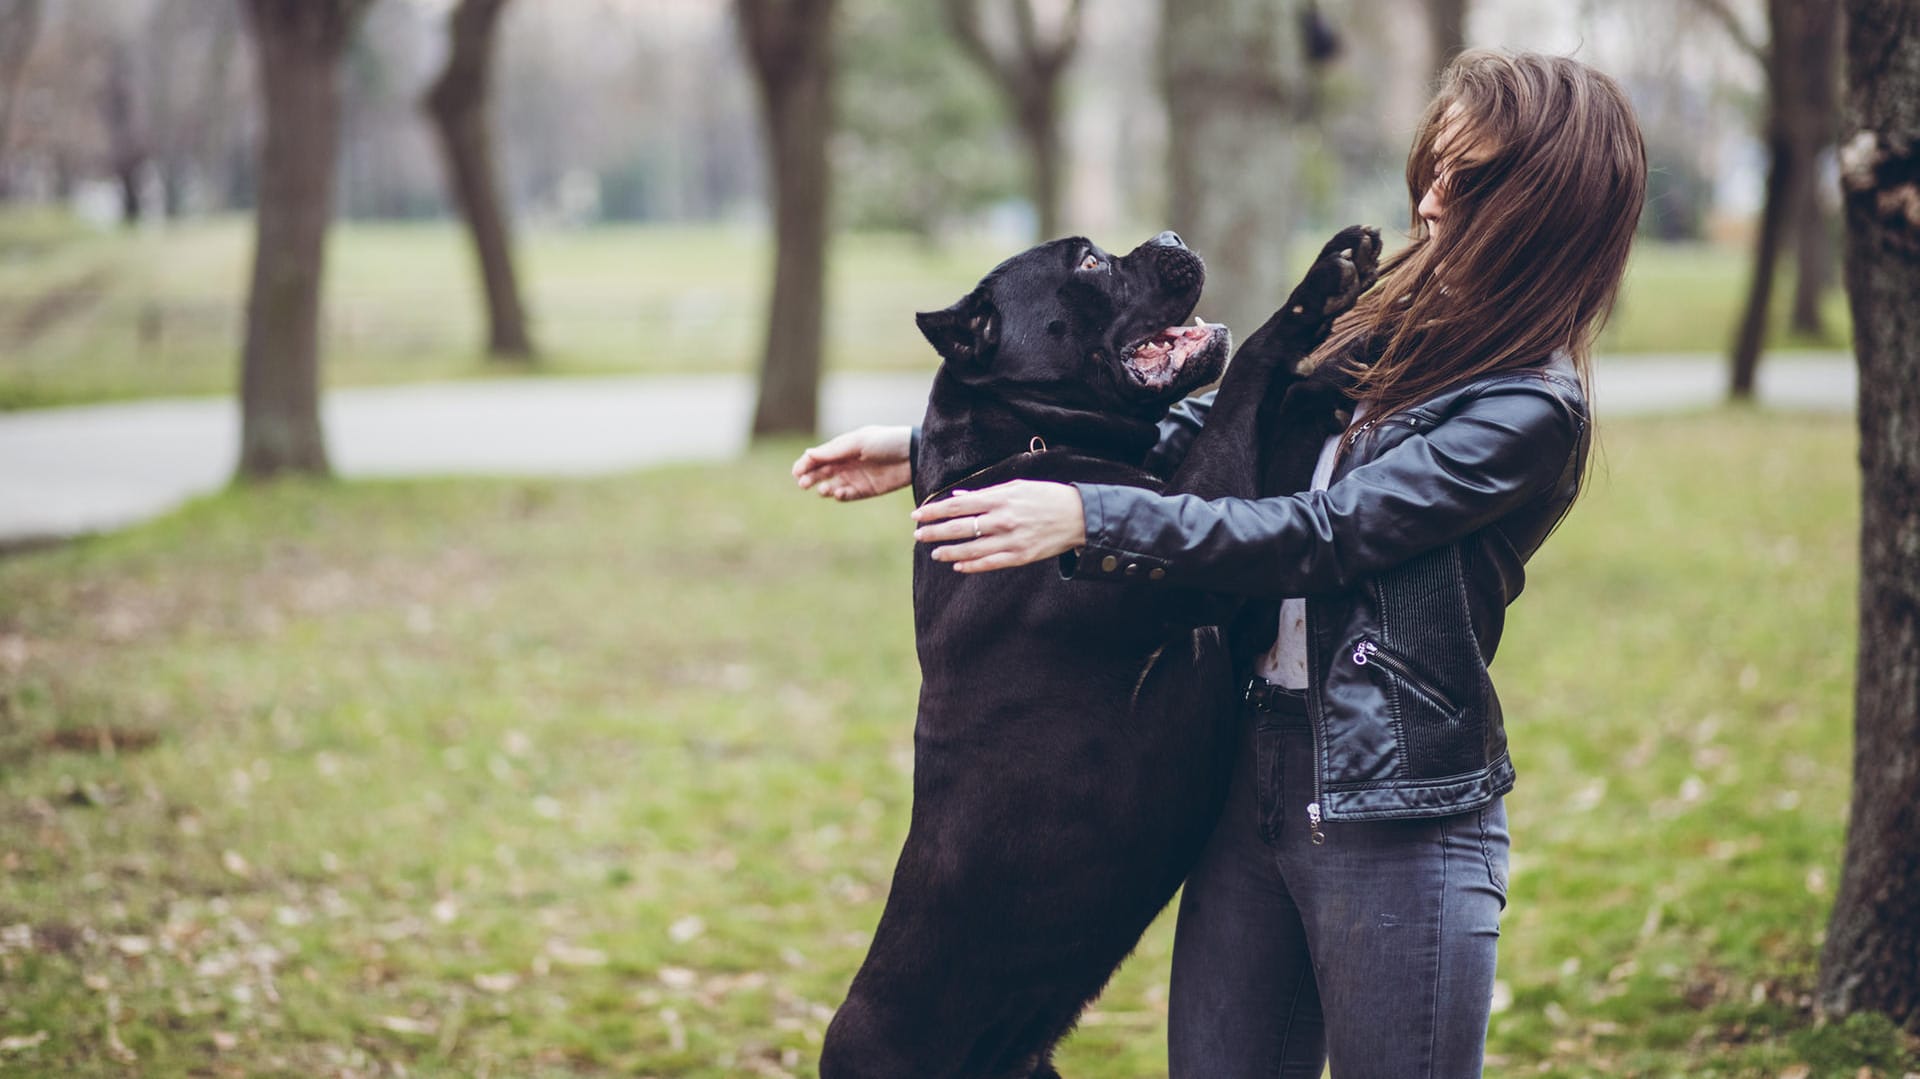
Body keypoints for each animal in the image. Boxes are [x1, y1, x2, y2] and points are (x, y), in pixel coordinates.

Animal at [817, 222, 1374, 1067]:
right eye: (1086, 262)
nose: (1172, 235)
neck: (1016, 446)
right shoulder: (1200, 552)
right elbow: (1244, 379)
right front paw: (1319, 290)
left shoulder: (1235, 581)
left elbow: (1278, 433)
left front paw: (1341, 364)